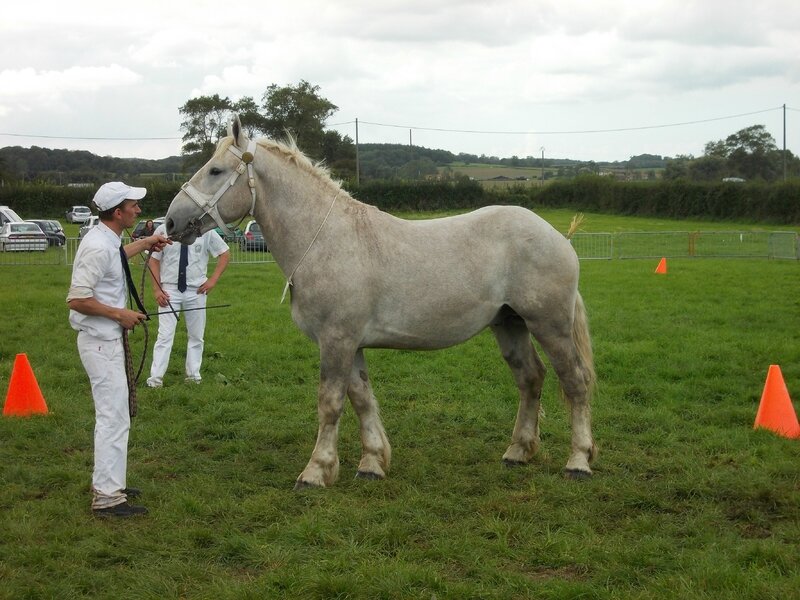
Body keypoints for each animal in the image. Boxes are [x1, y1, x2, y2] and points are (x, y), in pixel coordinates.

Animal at [167, 116, 592, 488]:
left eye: (216, 171)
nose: (170, 222)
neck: (326, 239)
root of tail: (559, 237)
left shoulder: (336, 340)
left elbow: (331, 402)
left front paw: (315, 472)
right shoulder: (350, 343)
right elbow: (361, 399)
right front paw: (371, 464)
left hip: (550, 326)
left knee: (575, 382)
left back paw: (578, 462)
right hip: (510, 324)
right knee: (530, 378)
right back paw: (517, 452)